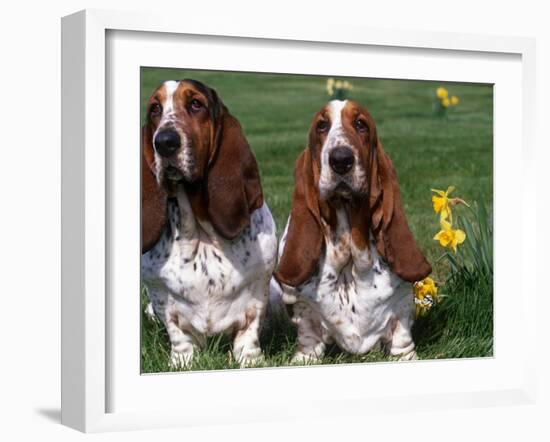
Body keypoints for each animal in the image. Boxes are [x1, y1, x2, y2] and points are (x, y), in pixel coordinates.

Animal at [142, 79, 278, 366]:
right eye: (155, 109)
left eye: (196, 104)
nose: (164, 142)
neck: (201, 234)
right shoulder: (159, 293)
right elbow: (177, 332)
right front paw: (182, 362)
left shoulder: (259, 288)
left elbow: (249, 330)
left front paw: (250, 360)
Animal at [274, 98, 434, 360]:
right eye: (321, 126)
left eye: (361, 124)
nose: (340, 160)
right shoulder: (302, 307)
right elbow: (308, 335)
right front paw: (304, 357)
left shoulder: (401, 306)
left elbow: (402, 338)